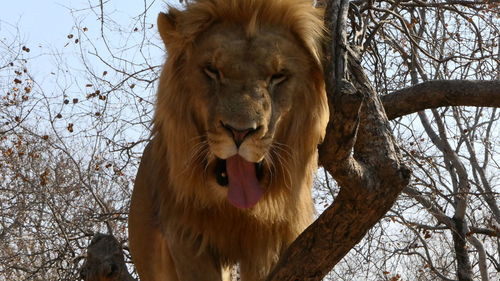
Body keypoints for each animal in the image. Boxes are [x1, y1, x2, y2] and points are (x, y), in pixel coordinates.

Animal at [129, 1, 328, 278]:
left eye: (278, 76)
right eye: (212, 71)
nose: (240, 132)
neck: (235, 212)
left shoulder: (270, 242)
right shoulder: (187, 238)